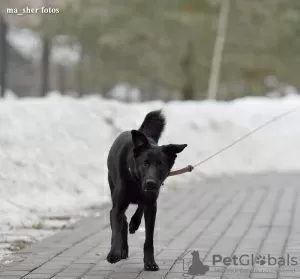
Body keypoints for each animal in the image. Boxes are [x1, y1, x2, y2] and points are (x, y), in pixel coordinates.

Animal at [106, 111, 186, 272]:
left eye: (160, 164)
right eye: (145, 163)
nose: (151, 183)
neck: (137, 182)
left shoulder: (152, 207)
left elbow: (149, 239)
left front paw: (149, 262)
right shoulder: (117, 208)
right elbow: (116, 230)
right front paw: (114, 252)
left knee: (139, 208)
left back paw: (134, 223)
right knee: (123, 221)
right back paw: (123, 248)